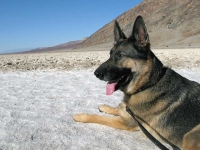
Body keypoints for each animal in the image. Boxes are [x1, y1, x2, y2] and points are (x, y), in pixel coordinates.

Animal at [73, 15, 200, 149]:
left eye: (120, 55)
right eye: (110, 54)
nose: (96, 73)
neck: (147, 85)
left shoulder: (125, 122)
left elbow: (98, 117)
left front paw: (81, 116)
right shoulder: (126, 112)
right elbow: (118, 108)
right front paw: (105, 107)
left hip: (189, 136)